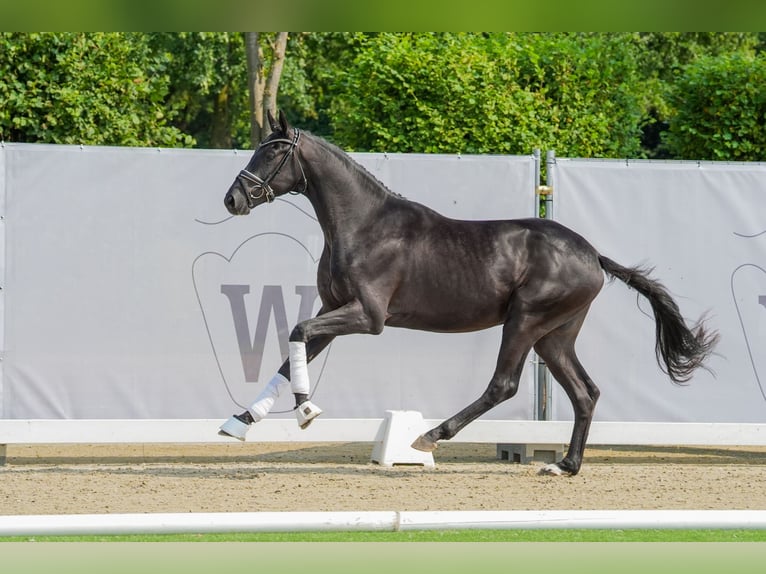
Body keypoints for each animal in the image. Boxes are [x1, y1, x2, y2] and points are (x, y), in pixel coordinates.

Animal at [220, 112, 720, 476]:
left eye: (273, 151)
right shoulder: (335, 309)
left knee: (504, 384)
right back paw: (565, 465)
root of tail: (592, 254)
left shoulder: (368, 316)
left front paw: (306, 411)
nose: (233, 199)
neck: (365, 226)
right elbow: (292, 351)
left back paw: (430, 436)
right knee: (585, 392)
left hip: (526, 321)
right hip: (554, 335)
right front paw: (239, 423)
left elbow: (298, 332)